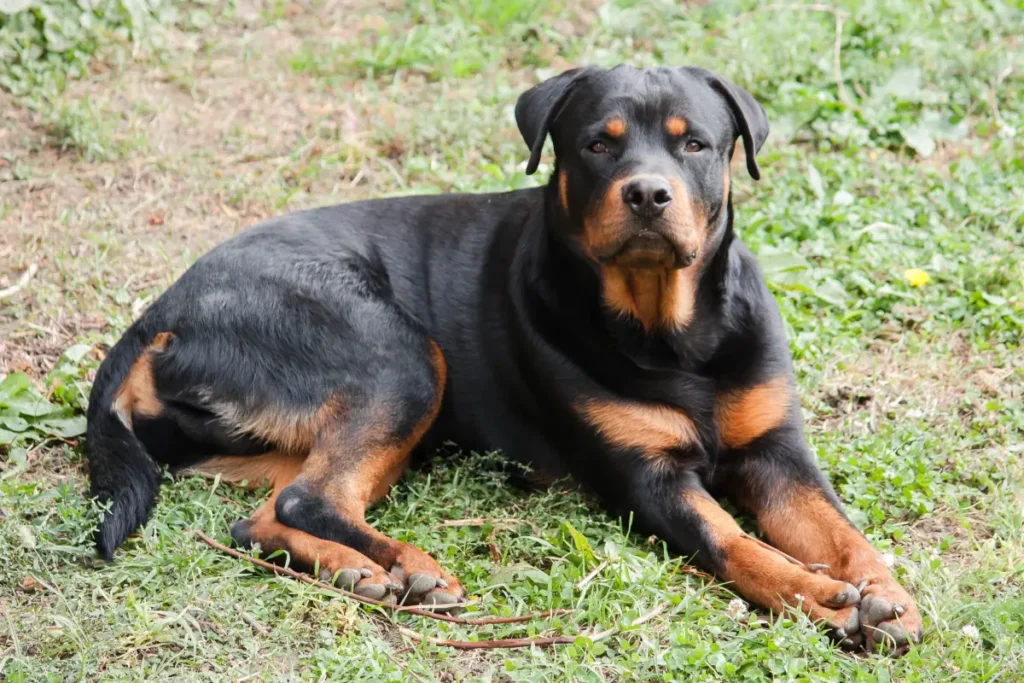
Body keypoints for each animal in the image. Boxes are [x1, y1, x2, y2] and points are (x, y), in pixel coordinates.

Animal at [86, 66, 921, 655]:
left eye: (695, 144)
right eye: (598, 143)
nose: (648, 193)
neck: (671, 330)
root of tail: (164, 310)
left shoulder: (778, 452)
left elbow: (839, 527)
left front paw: (884, 592)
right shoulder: (646, 477)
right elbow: (733, 540)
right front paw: (819, 596)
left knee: (267, 511)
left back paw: (360, 568)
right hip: (399, 356)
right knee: (308, 497)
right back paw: (409, 566)